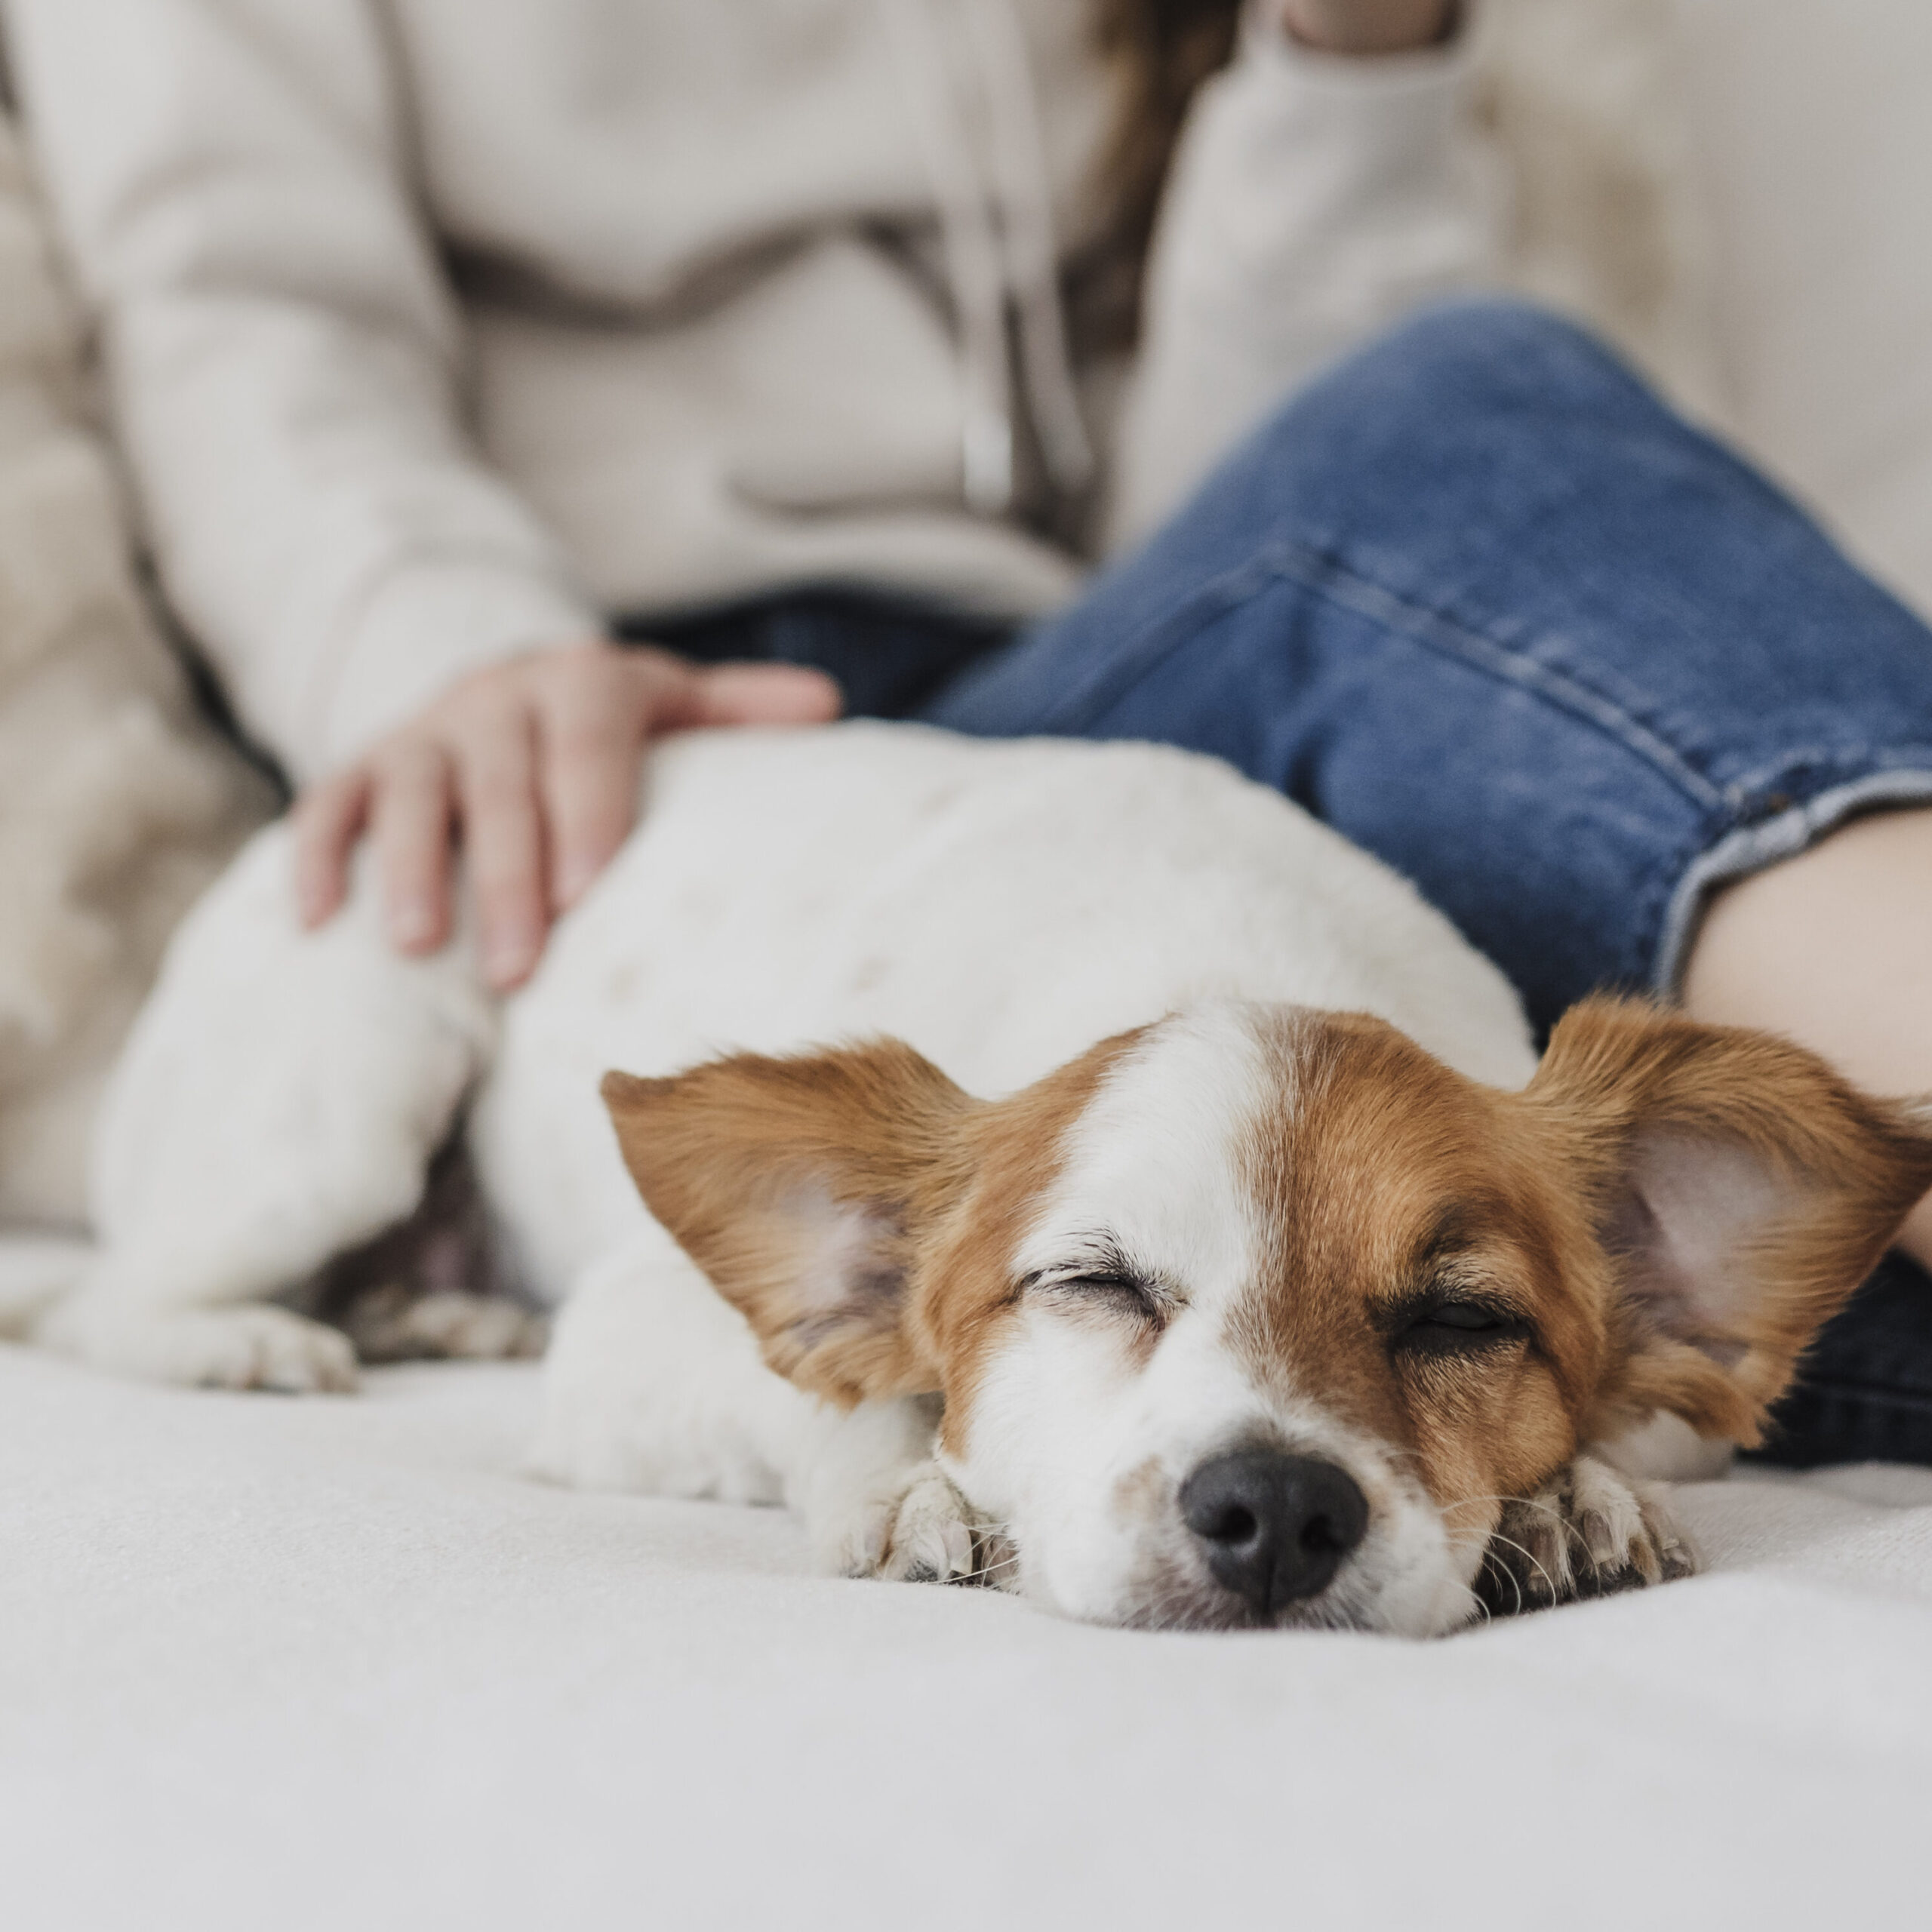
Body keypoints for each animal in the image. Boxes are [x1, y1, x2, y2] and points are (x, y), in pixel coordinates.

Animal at [34, 726, 1932, 1630]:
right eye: (1090, 1282)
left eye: (1462, 1321)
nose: (1273, 1510)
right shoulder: (641, 1332)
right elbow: (836, 1390)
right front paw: (905, 1484)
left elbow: (1612, 1438)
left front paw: (1558, 1498)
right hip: (330, 1106)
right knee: (108, 1294)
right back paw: (242, 1339)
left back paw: (434, 1305)